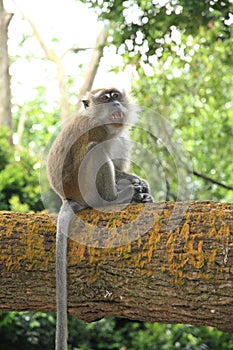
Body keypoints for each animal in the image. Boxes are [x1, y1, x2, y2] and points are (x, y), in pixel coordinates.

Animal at [46, 87, 154, 350]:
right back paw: (115, 199)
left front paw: (139, 182)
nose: (115, 103)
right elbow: (98, 146)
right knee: (95, 150)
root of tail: (68, 197)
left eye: (116, 95)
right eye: (105, 98)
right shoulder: (98, 130)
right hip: (84, 186)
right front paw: (132, 189)